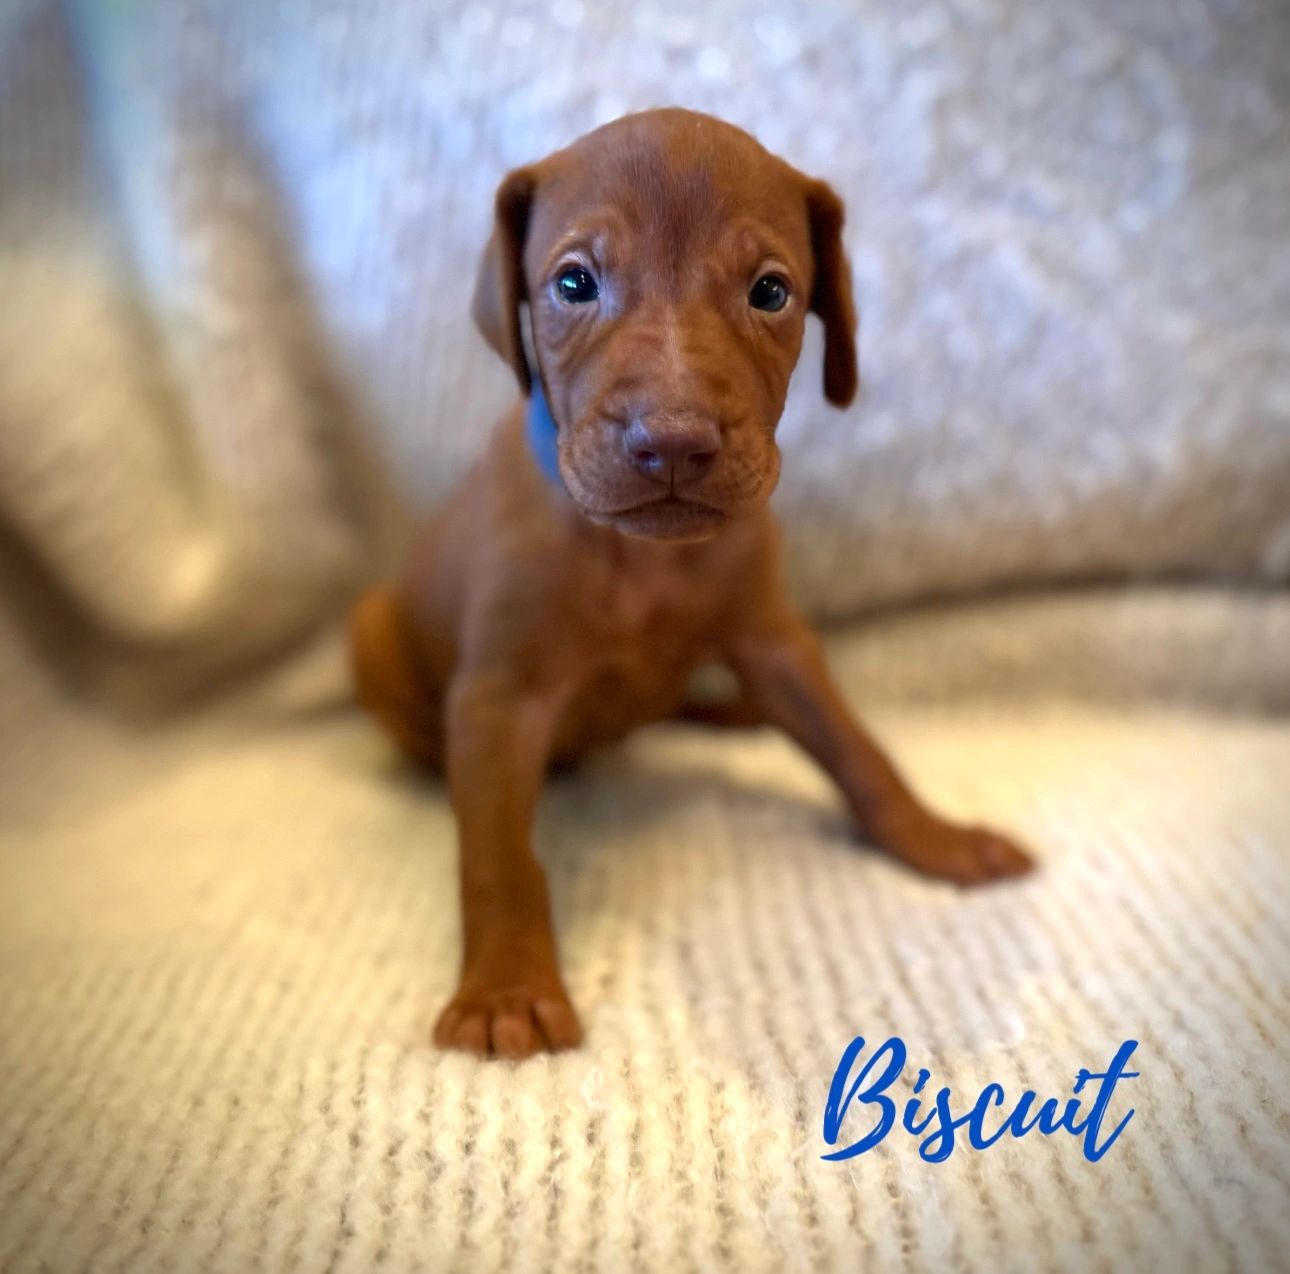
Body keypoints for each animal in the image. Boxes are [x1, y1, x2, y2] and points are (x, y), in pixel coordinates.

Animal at [349, 108, 1034, 1059]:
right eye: (573, 282)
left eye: (771, 292)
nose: (672, 441)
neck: (644, 559)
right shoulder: (497, 696)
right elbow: (497, 856)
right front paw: (506, 988)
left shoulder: (774, 640)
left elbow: (856, 748)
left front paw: (934, 837)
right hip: (370, 631)